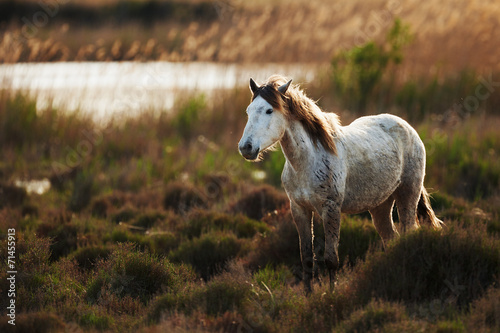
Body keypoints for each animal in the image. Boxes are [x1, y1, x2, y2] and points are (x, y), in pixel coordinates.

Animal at [238, 75, 442, 290]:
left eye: (269, 110)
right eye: (248, 111)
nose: (246, 147)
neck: (308, 160)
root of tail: (409, 128)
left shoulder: (331, 209)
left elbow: (331, 259)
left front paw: (331, 294)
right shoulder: (299, 209)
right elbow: (307, 259)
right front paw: (308, 294)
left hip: (407, 196)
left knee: (408, 233)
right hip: (380, 206)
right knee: (390, 238)